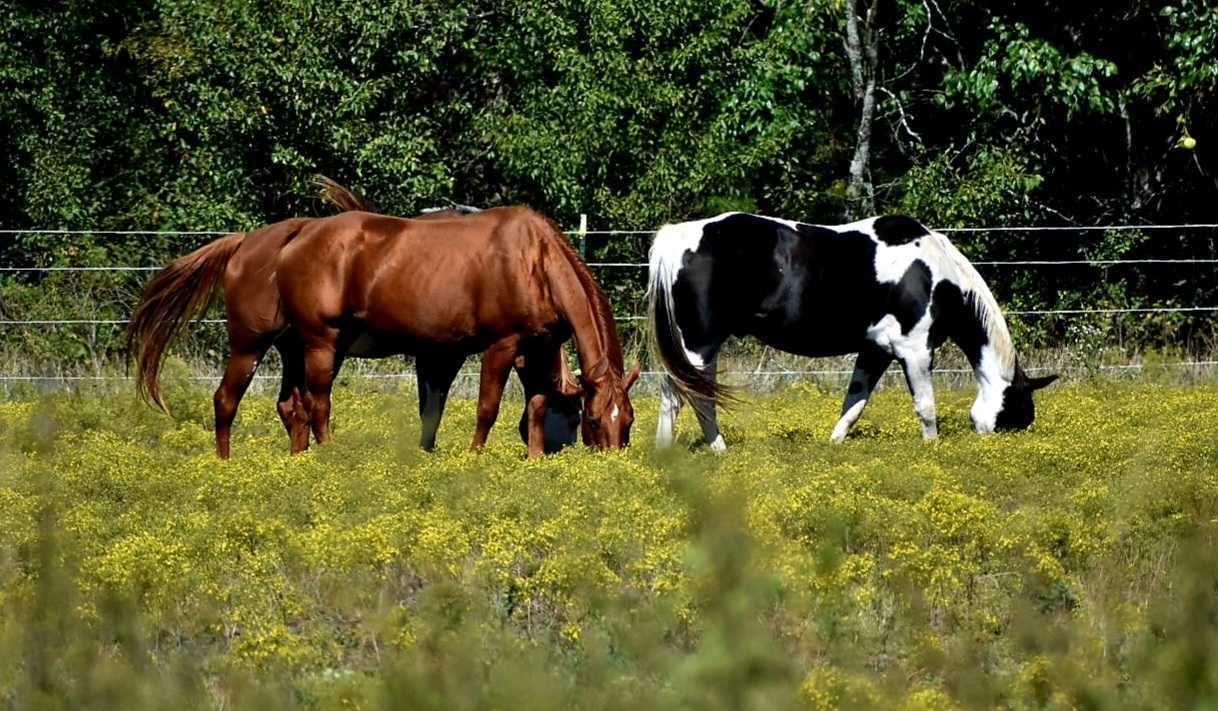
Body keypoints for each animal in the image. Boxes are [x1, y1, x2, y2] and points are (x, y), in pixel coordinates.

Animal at [127, 202, 638, 459]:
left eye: (628, 421)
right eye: (595, 421)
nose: (612, 465)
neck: (534, 259)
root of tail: (285, 238)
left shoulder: (535, 349)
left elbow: (535, 407)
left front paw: (532, 461)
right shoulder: (500, 346)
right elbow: (487, 410)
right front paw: (475, 458)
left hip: (294, 347)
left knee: (292, 406)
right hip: (281, 345)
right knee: (268, 402)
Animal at [646, 213, 1057, 451]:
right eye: (1020, 411)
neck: (935, 273)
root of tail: (678, 237)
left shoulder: (875, 351)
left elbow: (854, 403)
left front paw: (834, 444)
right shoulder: (915, 350)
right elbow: (926, 407)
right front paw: (932, 449)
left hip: (703, 347)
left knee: (693, 395)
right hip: (697, 344)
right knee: (682, 394)